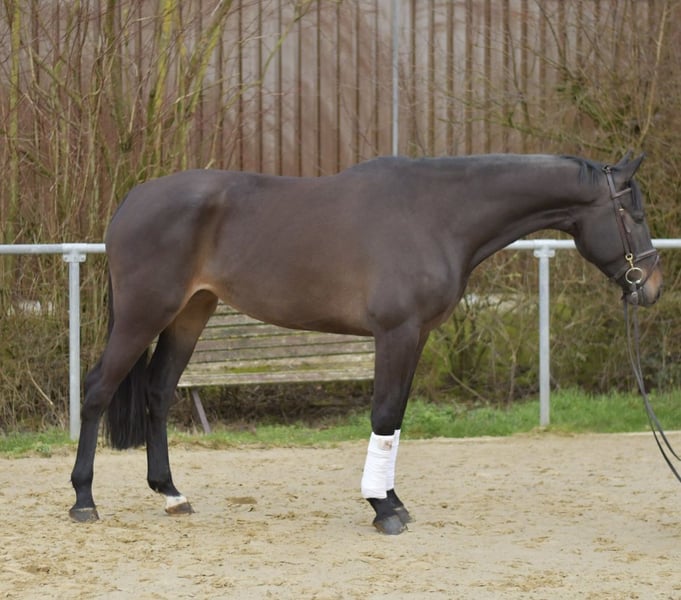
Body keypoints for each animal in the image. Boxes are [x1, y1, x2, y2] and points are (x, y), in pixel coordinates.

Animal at [69, 152, 662, 534]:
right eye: (632, 214)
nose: (651, 287)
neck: (434, 214)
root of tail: (131, 202)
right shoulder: (395, 333)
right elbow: (383, 414)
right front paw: (384, 509)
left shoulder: (415, 337)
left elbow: (395, 420)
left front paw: (391, 500)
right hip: (145, 313)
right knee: (98, 390)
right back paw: (83, 501)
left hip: (191, 313)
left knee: (158, 392)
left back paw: (172, 495)